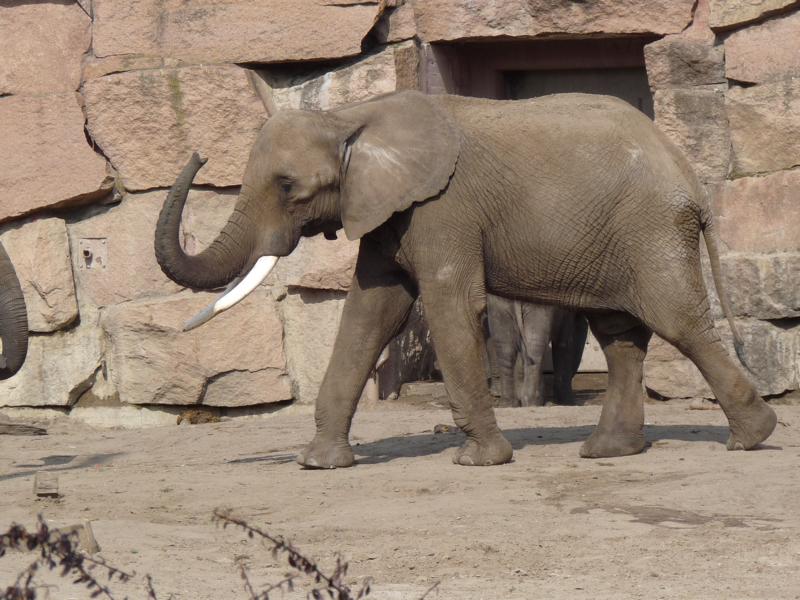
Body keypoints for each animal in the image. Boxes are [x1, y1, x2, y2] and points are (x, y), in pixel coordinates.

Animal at [154, 90, 777, 468]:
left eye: (287, 186)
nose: (200, 152)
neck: (351, 116)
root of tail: (688, 176)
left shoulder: (442, 207)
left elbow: (449, 304)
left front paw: (480, 461)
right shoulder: (390, 212)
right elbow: (370, 312)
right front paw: (319, 463)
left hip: (649, 229)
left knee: (677, 320)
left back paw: (754, 437)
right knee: (619, 333)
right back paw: (606, 452)